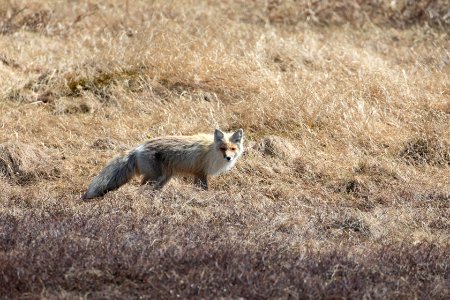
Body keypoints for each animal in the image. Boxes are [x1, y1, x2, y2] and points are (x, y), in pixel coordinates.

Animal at [81, 127, 243, 199]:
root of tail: (139, 147)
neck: (211, 152)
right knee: (141, 188)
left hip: (163, 179)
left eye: (232, 149)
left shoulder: (199, 174)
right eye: (223, 148)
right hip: (155, 178)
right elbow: (204, 189)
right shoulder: (200, 173)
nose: (228, 158)